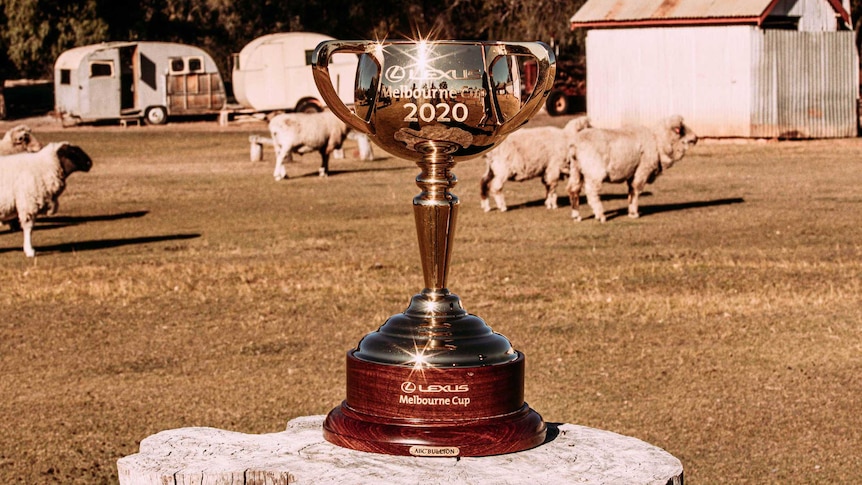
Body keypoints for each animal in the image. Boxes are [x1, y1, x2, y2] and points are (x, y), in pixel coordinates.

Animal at [568, 114, 704, 222]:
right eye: (681, 129)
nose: (696, 138)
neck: (657, 141)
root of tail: (576, 143)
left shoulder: (632, 172)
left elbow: (631, 190)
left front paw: (631, 211)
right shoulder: (643, 169)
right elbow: (636, 189)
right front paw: (634, 213)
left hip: (575, 170)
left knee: (573, 190)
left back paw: (576, 216)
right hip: (593, 171)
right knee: (592, 193)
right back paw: (600, 215)